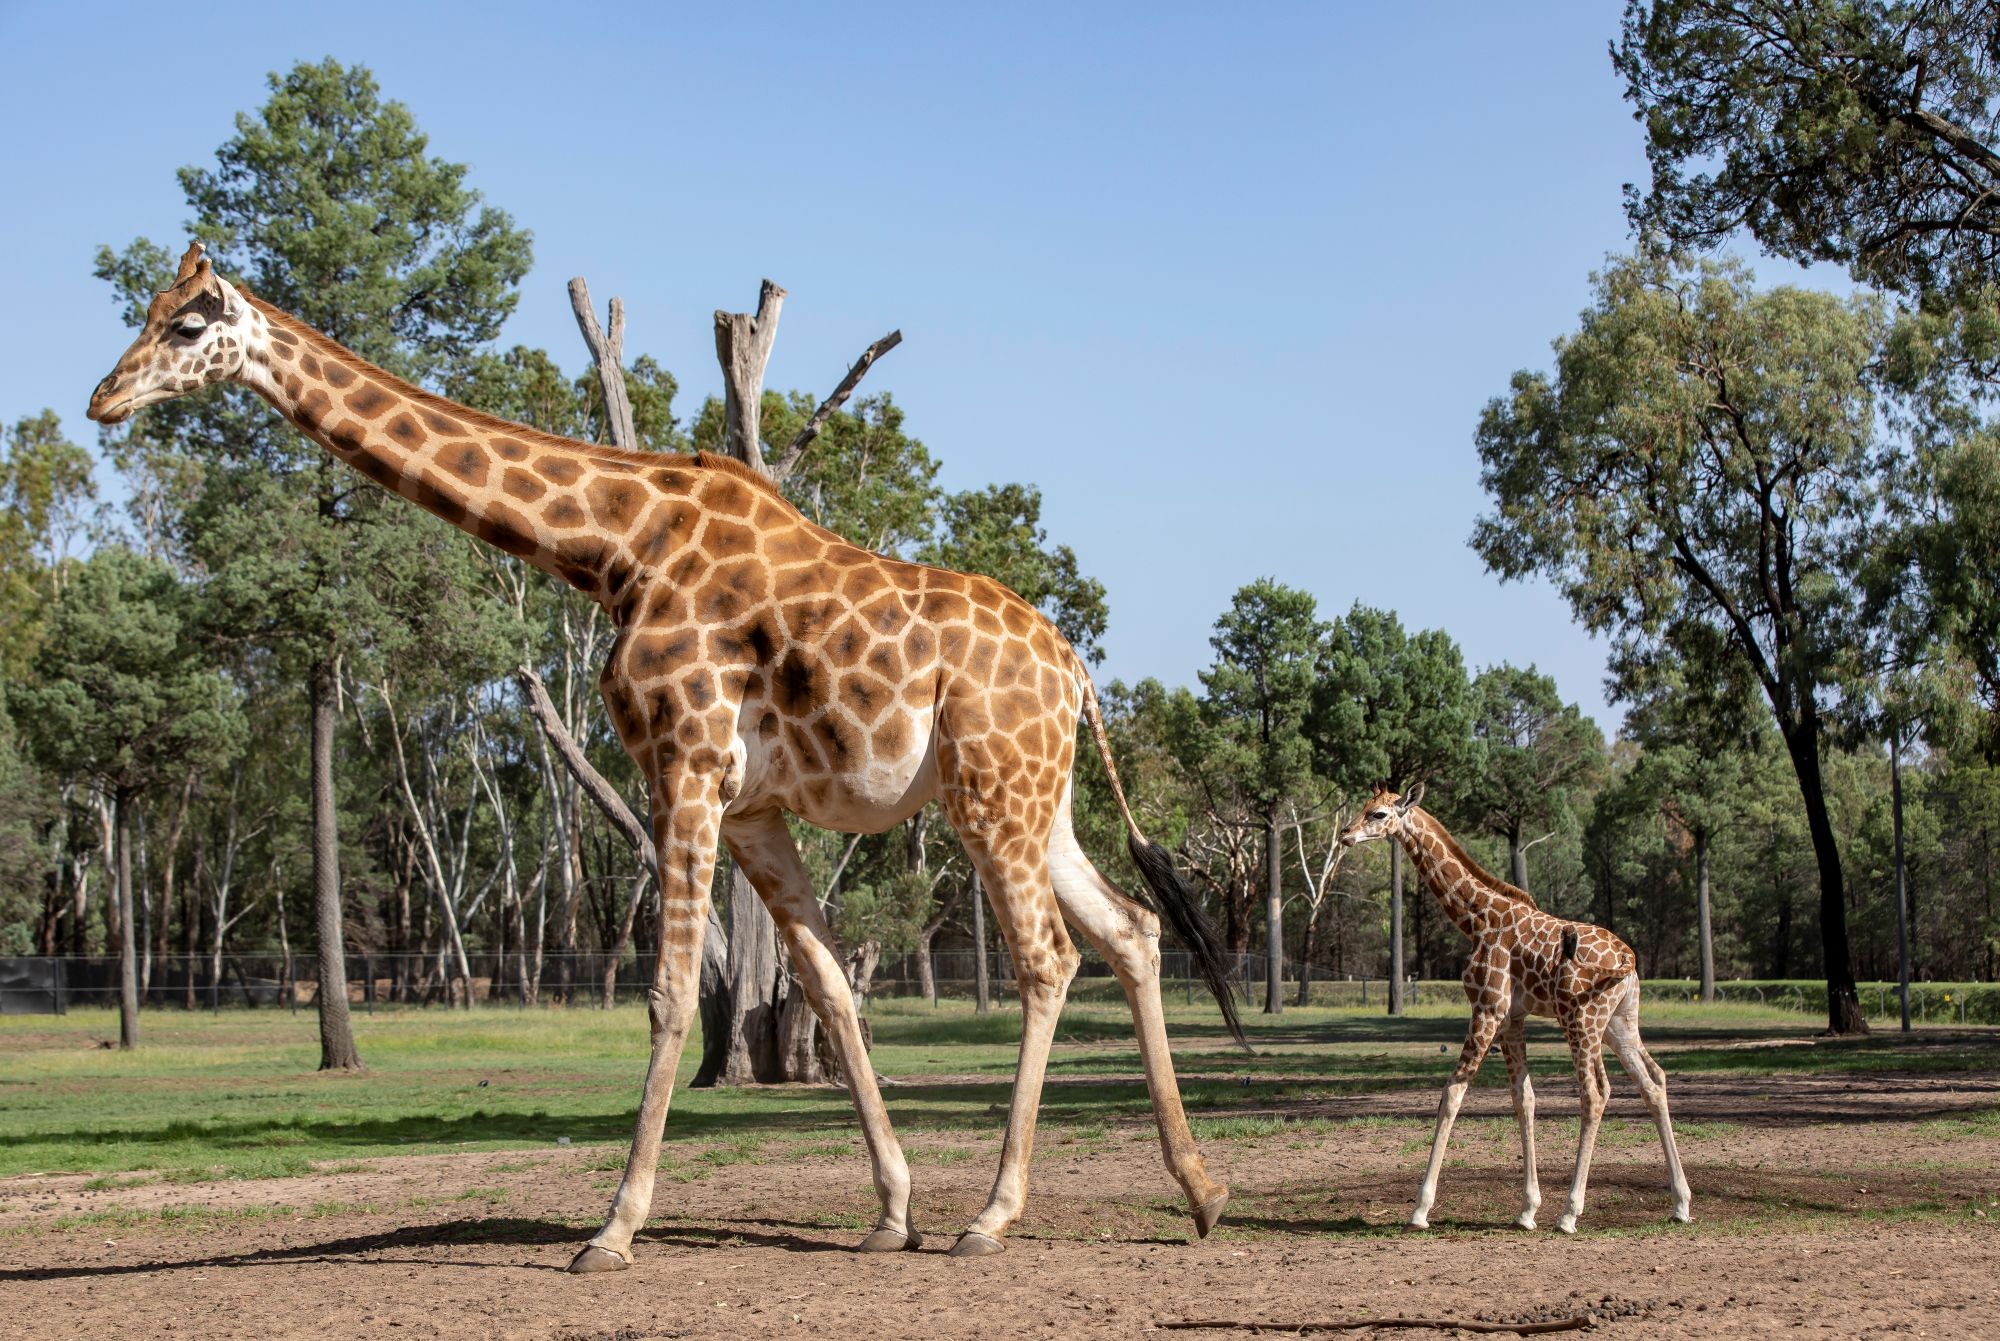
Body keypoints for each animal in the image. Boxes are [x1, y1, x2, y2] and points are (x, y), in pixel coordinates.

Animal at [87, 241, 1244, 1269]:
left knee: (1049, 957)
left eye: (185, 325)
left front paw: (612, 1229)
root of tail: (1076, 669)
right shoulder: (752, 805)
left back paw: (995, 1216)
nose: (103, 398)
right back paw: (1199, 1189)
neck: (610, 547)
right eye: (140, 311)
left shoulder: (682, 765)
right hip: (1033, 792)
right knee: (1132, 930)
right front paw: (889, 1212)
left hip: (991, 790)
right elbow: (827, 986)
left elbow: (672, 994)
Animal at [1337, 783, 1691, 1234]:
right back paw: (1680, 1203)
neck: (1474, 918)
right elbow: (1524, 1099)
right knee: (1653, 1079)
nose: (1346, 834)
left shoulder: (1487, 1008)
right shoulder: (1511, 1020)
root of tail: (1629, 960)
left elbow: (1452, 1093)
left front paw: (1420, 1210)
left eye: (1379, 814)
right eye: (1363, 807)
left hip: (1581, 1020)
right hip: (1619, 1022)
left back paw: (1570, 1213)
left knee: (1596, 1093)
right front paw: (1527, 1210)